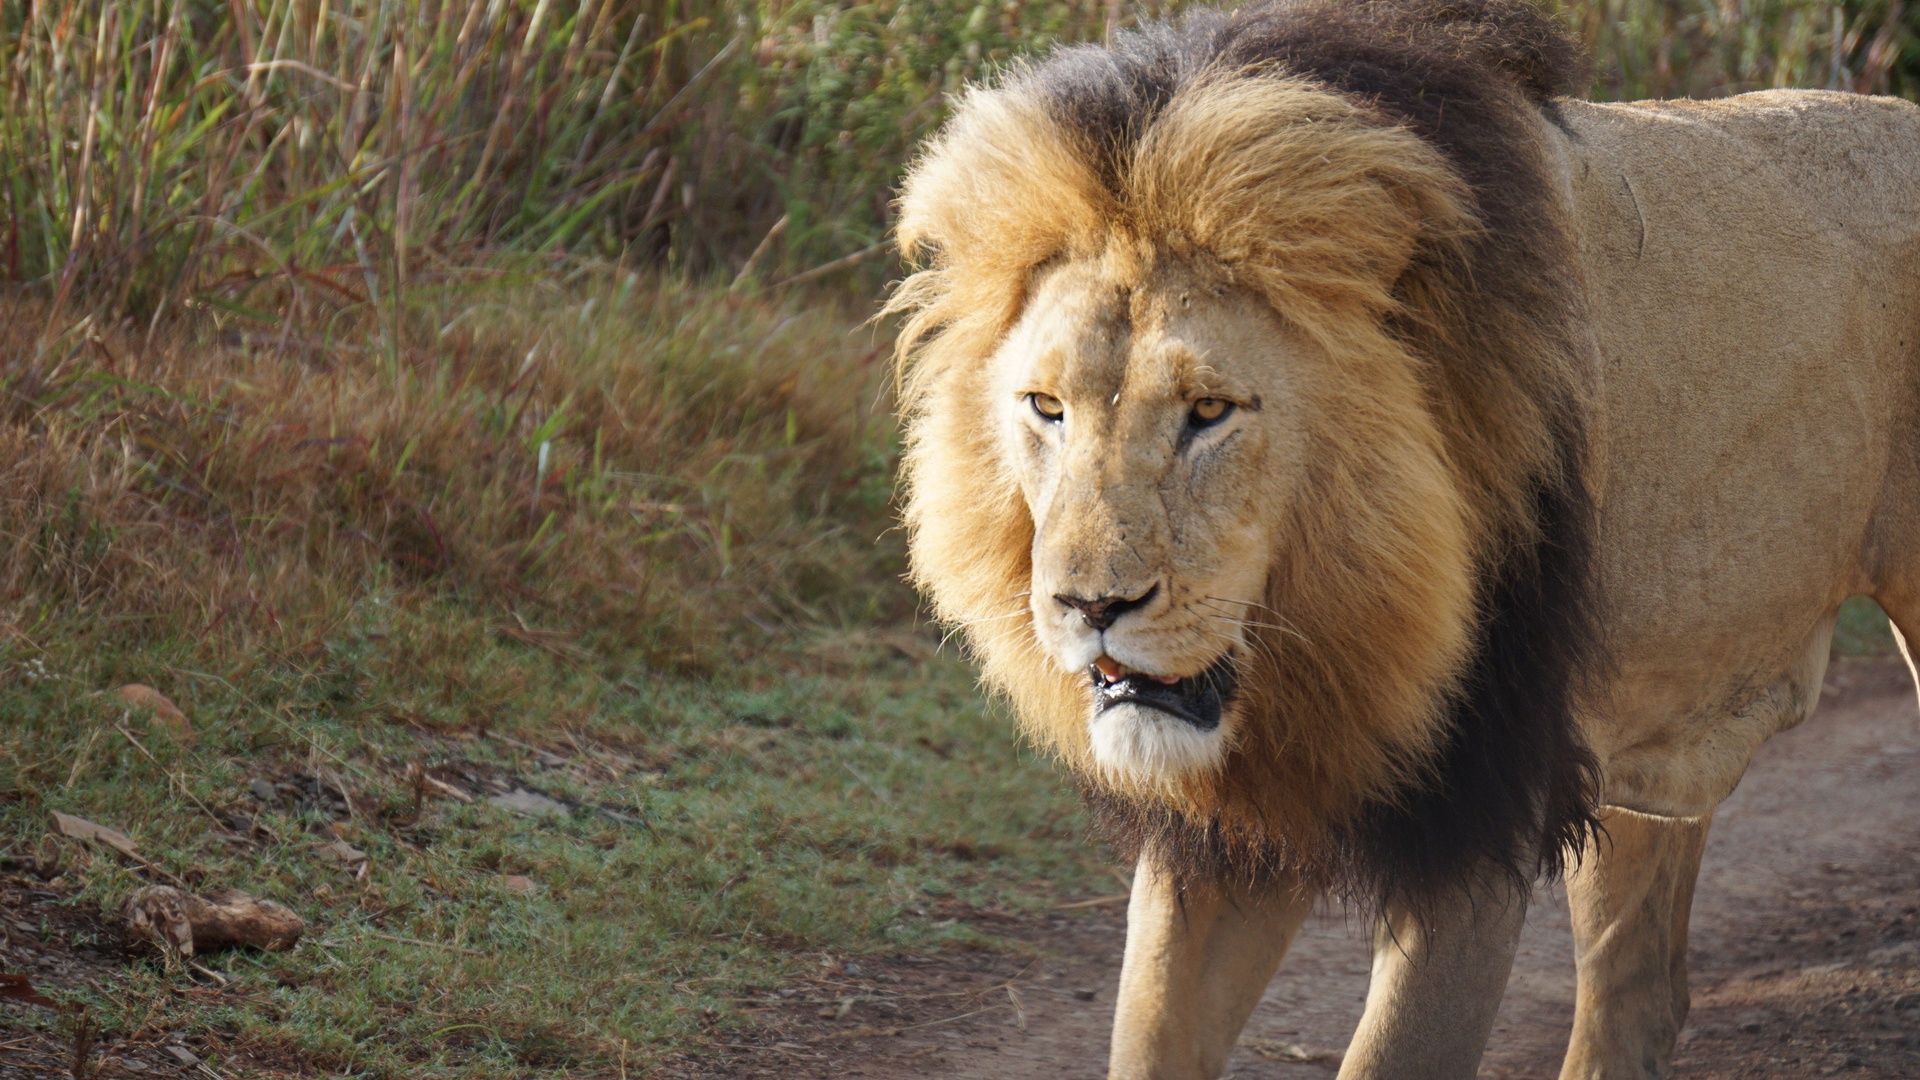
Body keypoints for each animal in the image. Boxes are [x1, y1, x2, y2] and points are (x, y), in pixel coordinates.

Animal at [887, 0, 1920, 1068]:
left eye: (1211, 412)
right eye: (1046, 407)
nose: (1090, 606)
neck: (1331, 629)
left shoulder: (1481, 807)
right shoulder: (1222, 835)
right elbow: (1150, 1038)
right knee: (1636, 993)